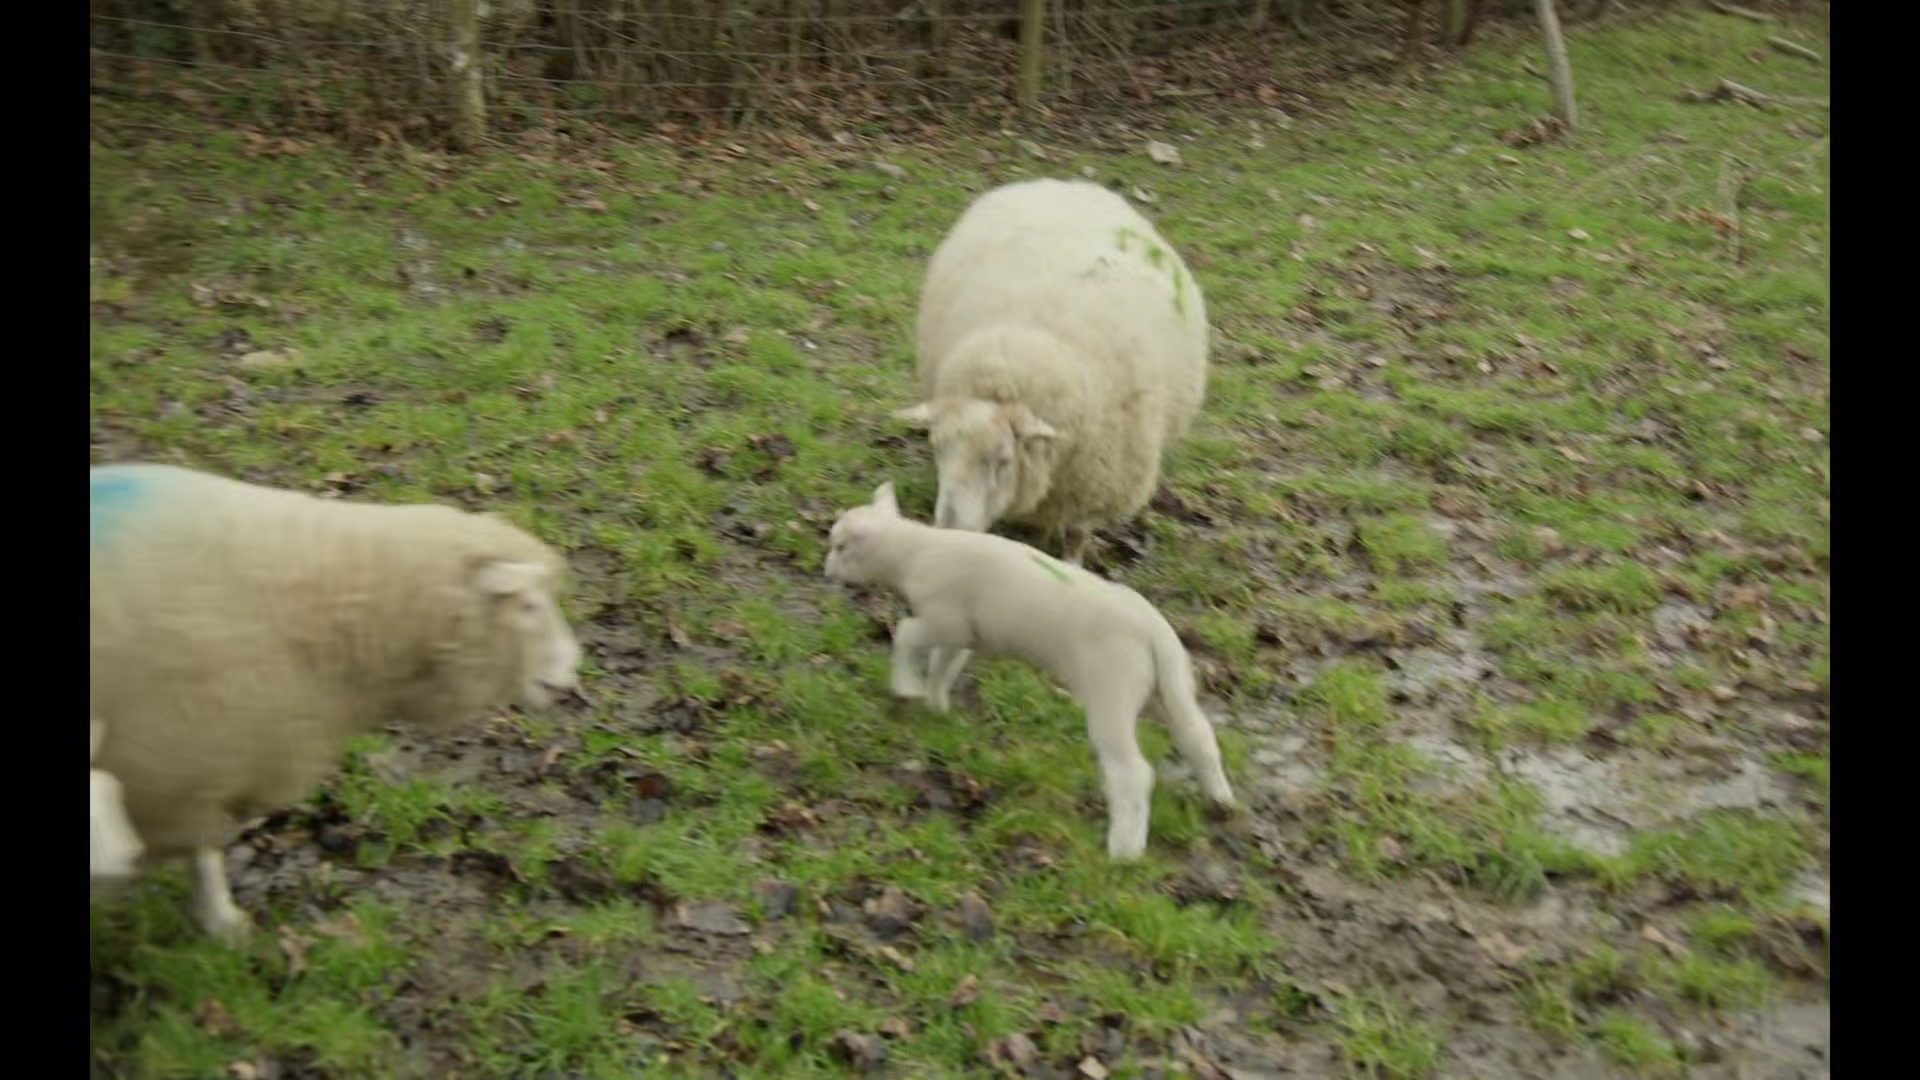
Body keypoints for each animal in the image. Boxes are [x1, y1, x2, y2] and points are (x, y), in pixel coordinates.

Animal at [89, 462, 585, 943]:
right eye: (527, 606)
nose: (571, 678)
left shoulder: (194, 769)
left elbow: (199, 848)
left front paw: (220, 920)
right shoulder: (179, 765)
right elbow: (199, 847)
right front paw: (219, 920)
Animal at [823, 481, 1237, 860]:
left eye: (839, 546)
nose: (825, 571)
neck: (914, 552)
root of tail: (1154, 634)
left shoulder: (945, 619)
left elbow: (907, 635)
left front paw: (906, 689)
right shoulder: (965, 634)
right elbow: (945, 666)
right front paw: (937, 705)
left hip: (1112, 691)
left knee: (1132, 772)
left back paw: (1124, 850)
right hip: (1165, 689)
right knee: (1197, 736)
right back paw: (1219, 800)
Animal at [896, 177, 1209, 566]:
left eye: (1002, 460)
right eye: (938, 449)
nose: (950, 530)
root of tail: (1061, 183)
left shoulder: (1094, 483)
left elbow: (1076, 534)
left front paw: (1072, 564)